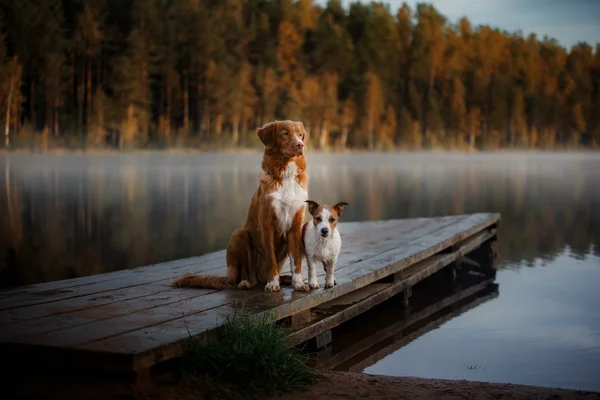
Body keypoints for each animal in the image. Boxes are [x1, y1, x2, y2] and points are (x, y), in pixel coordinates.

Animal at [170, 120, 308, 292]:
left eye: (300, 134)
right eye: (285, 133)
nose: (301, 145)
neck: (286, 175)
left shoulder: (296, 225)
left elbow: (296, 260)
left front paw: (298, 283)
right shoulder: (267, 224)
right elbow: (271, 259)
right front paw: (272, 283)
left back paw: (285, 279)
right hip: (239, 235)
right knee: (242, 277)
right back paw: (246, 282)